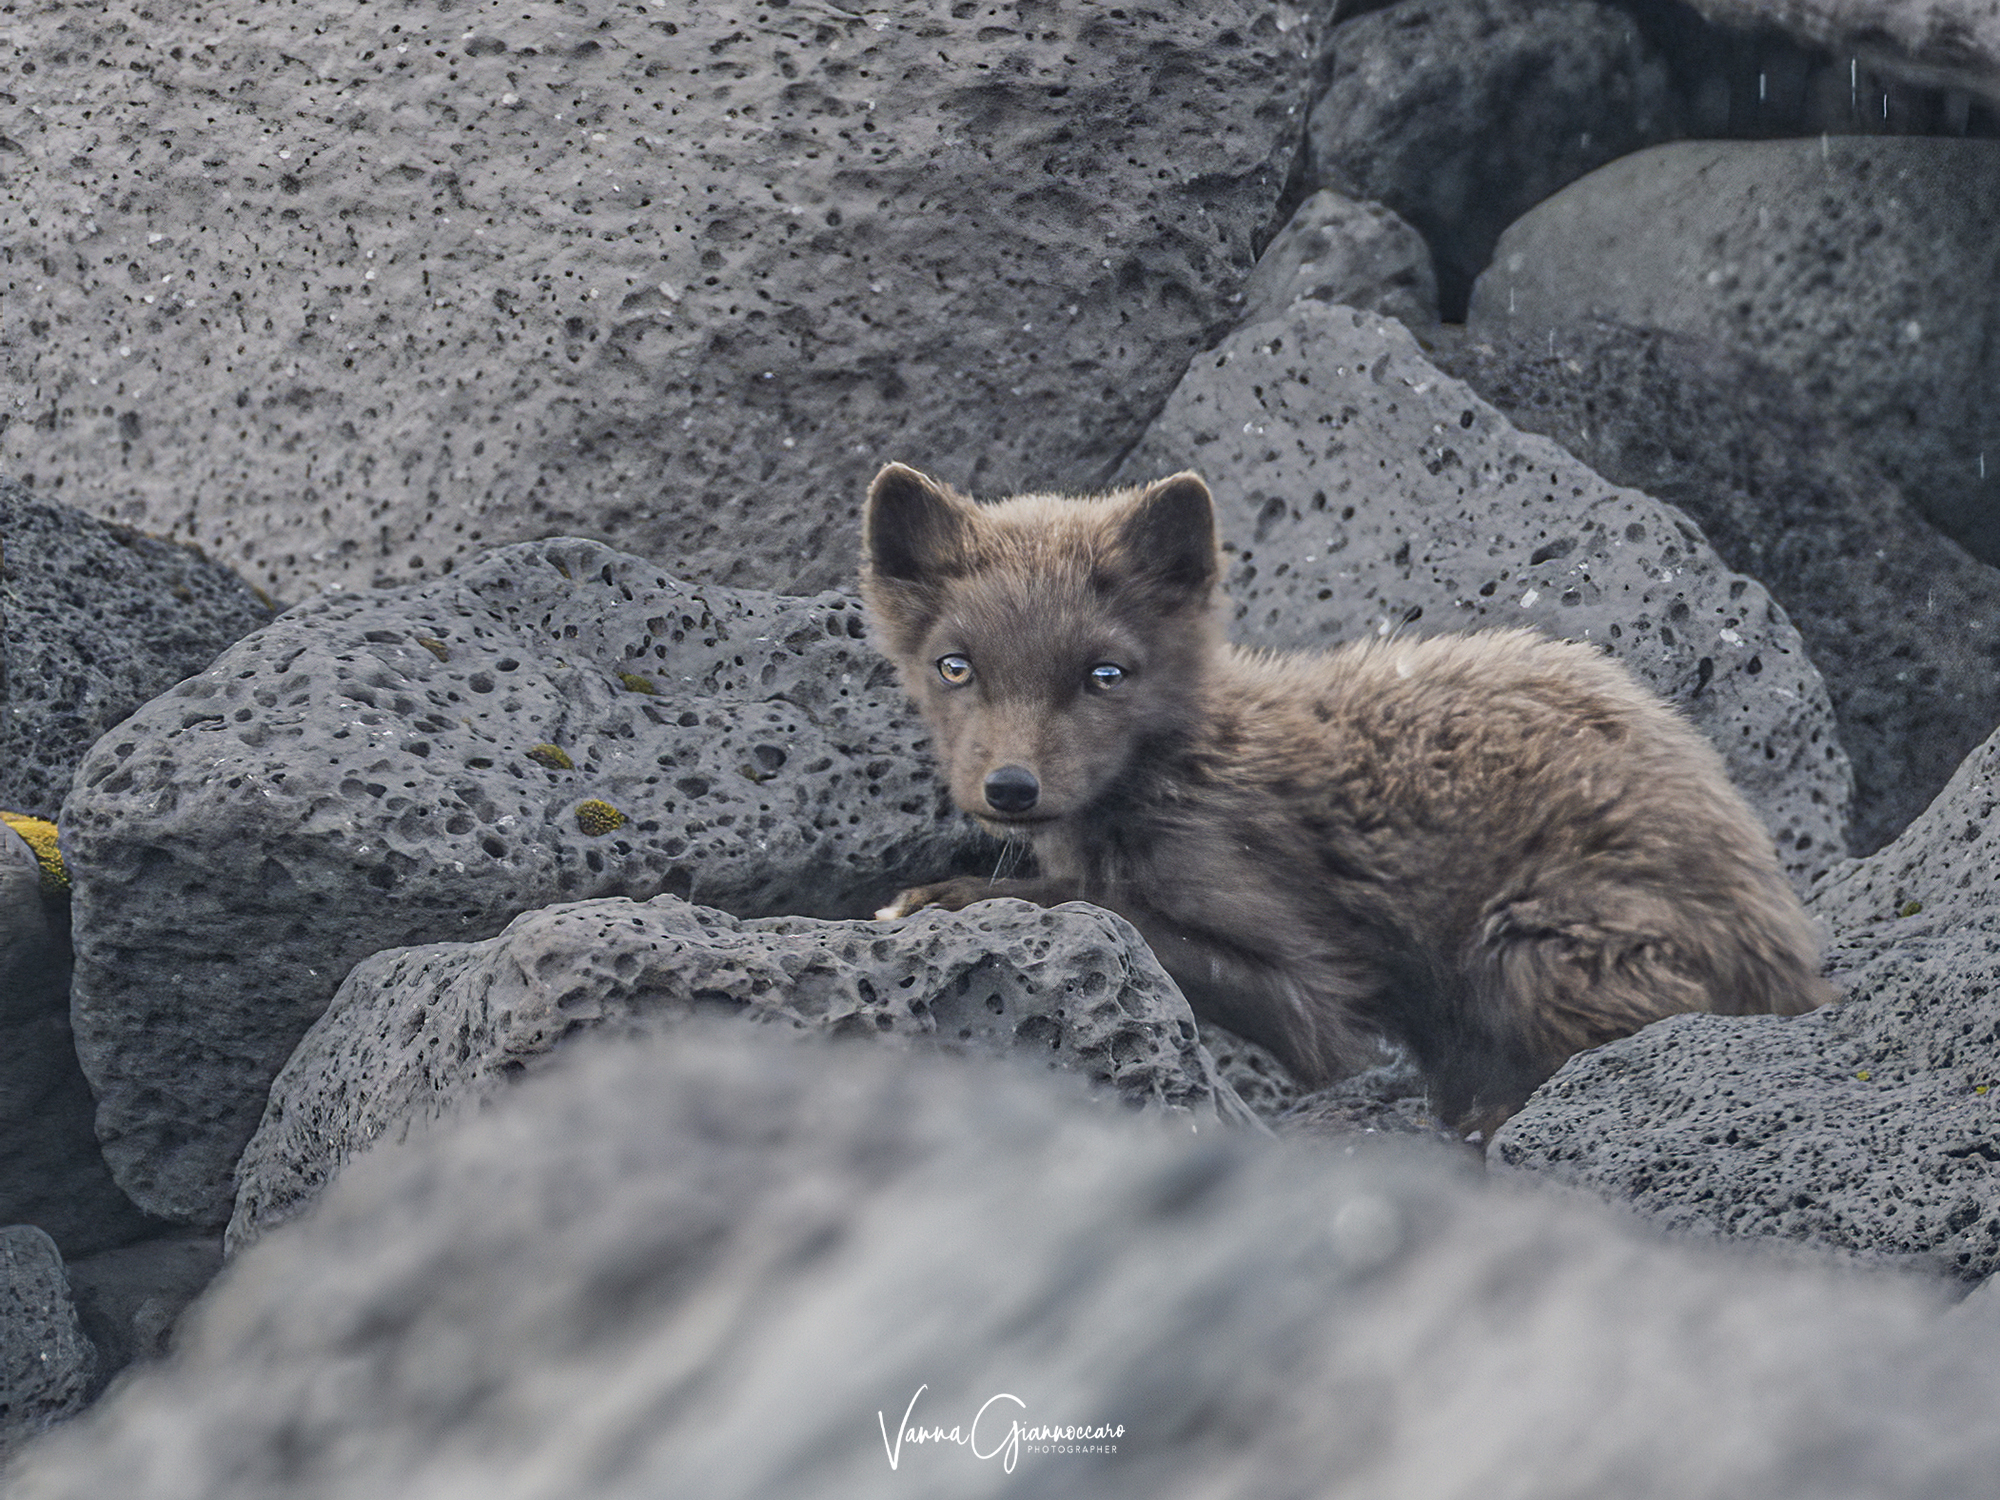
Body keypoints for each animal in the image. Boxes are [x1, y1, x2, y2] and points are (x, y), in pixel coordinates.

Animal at [861, 462, 1837, 1135]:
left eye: (1106, 674)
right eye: (955, 667)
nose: (1011, 787)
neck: (1182, 774)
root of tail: (1794, 962)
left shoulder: (1315, 981)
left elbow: (1122, 913)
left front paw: (946, 895)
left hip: (1533, 941)